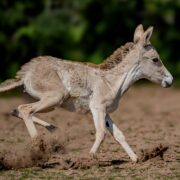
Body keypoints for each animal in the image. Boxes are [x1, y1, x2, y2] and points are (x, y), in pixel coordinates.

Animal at [0, 24, 173, 162]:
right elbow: (101, 133)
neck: (111, 82)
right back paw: (39, 147)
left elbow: (118, 134)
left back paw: (52, 131)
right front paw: (89, 158)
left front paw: (136, 159)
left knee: (17, 110)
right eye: (155, 59)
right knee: (25, 109)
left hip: (50, 103)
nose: (170, 80)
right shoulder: (97, 107)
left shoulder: (105, 111)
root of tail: (25, 73)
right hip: (55, 98)